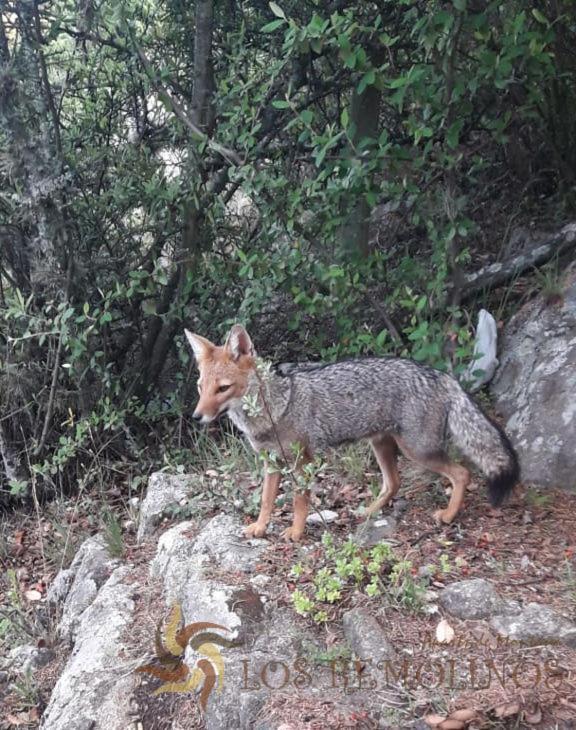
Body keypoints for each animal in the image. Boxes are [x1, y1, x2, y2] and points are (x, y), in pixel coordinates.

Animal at [187, 322, 520, 536]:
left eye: (223, 388)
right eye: (201, 387)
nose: (196, 416)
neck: (272, 409)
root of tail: (442, 375)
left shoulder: (303, 461)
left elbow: (299, 500)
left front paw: (295, 532)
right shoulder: (271, 463)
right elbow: (267, 500)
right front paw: (259, 527)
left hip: (417, 451)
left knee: (461, 473)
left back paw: (449, 515)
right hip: (382, 446)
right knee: (393, 483)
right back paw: (369, 512)